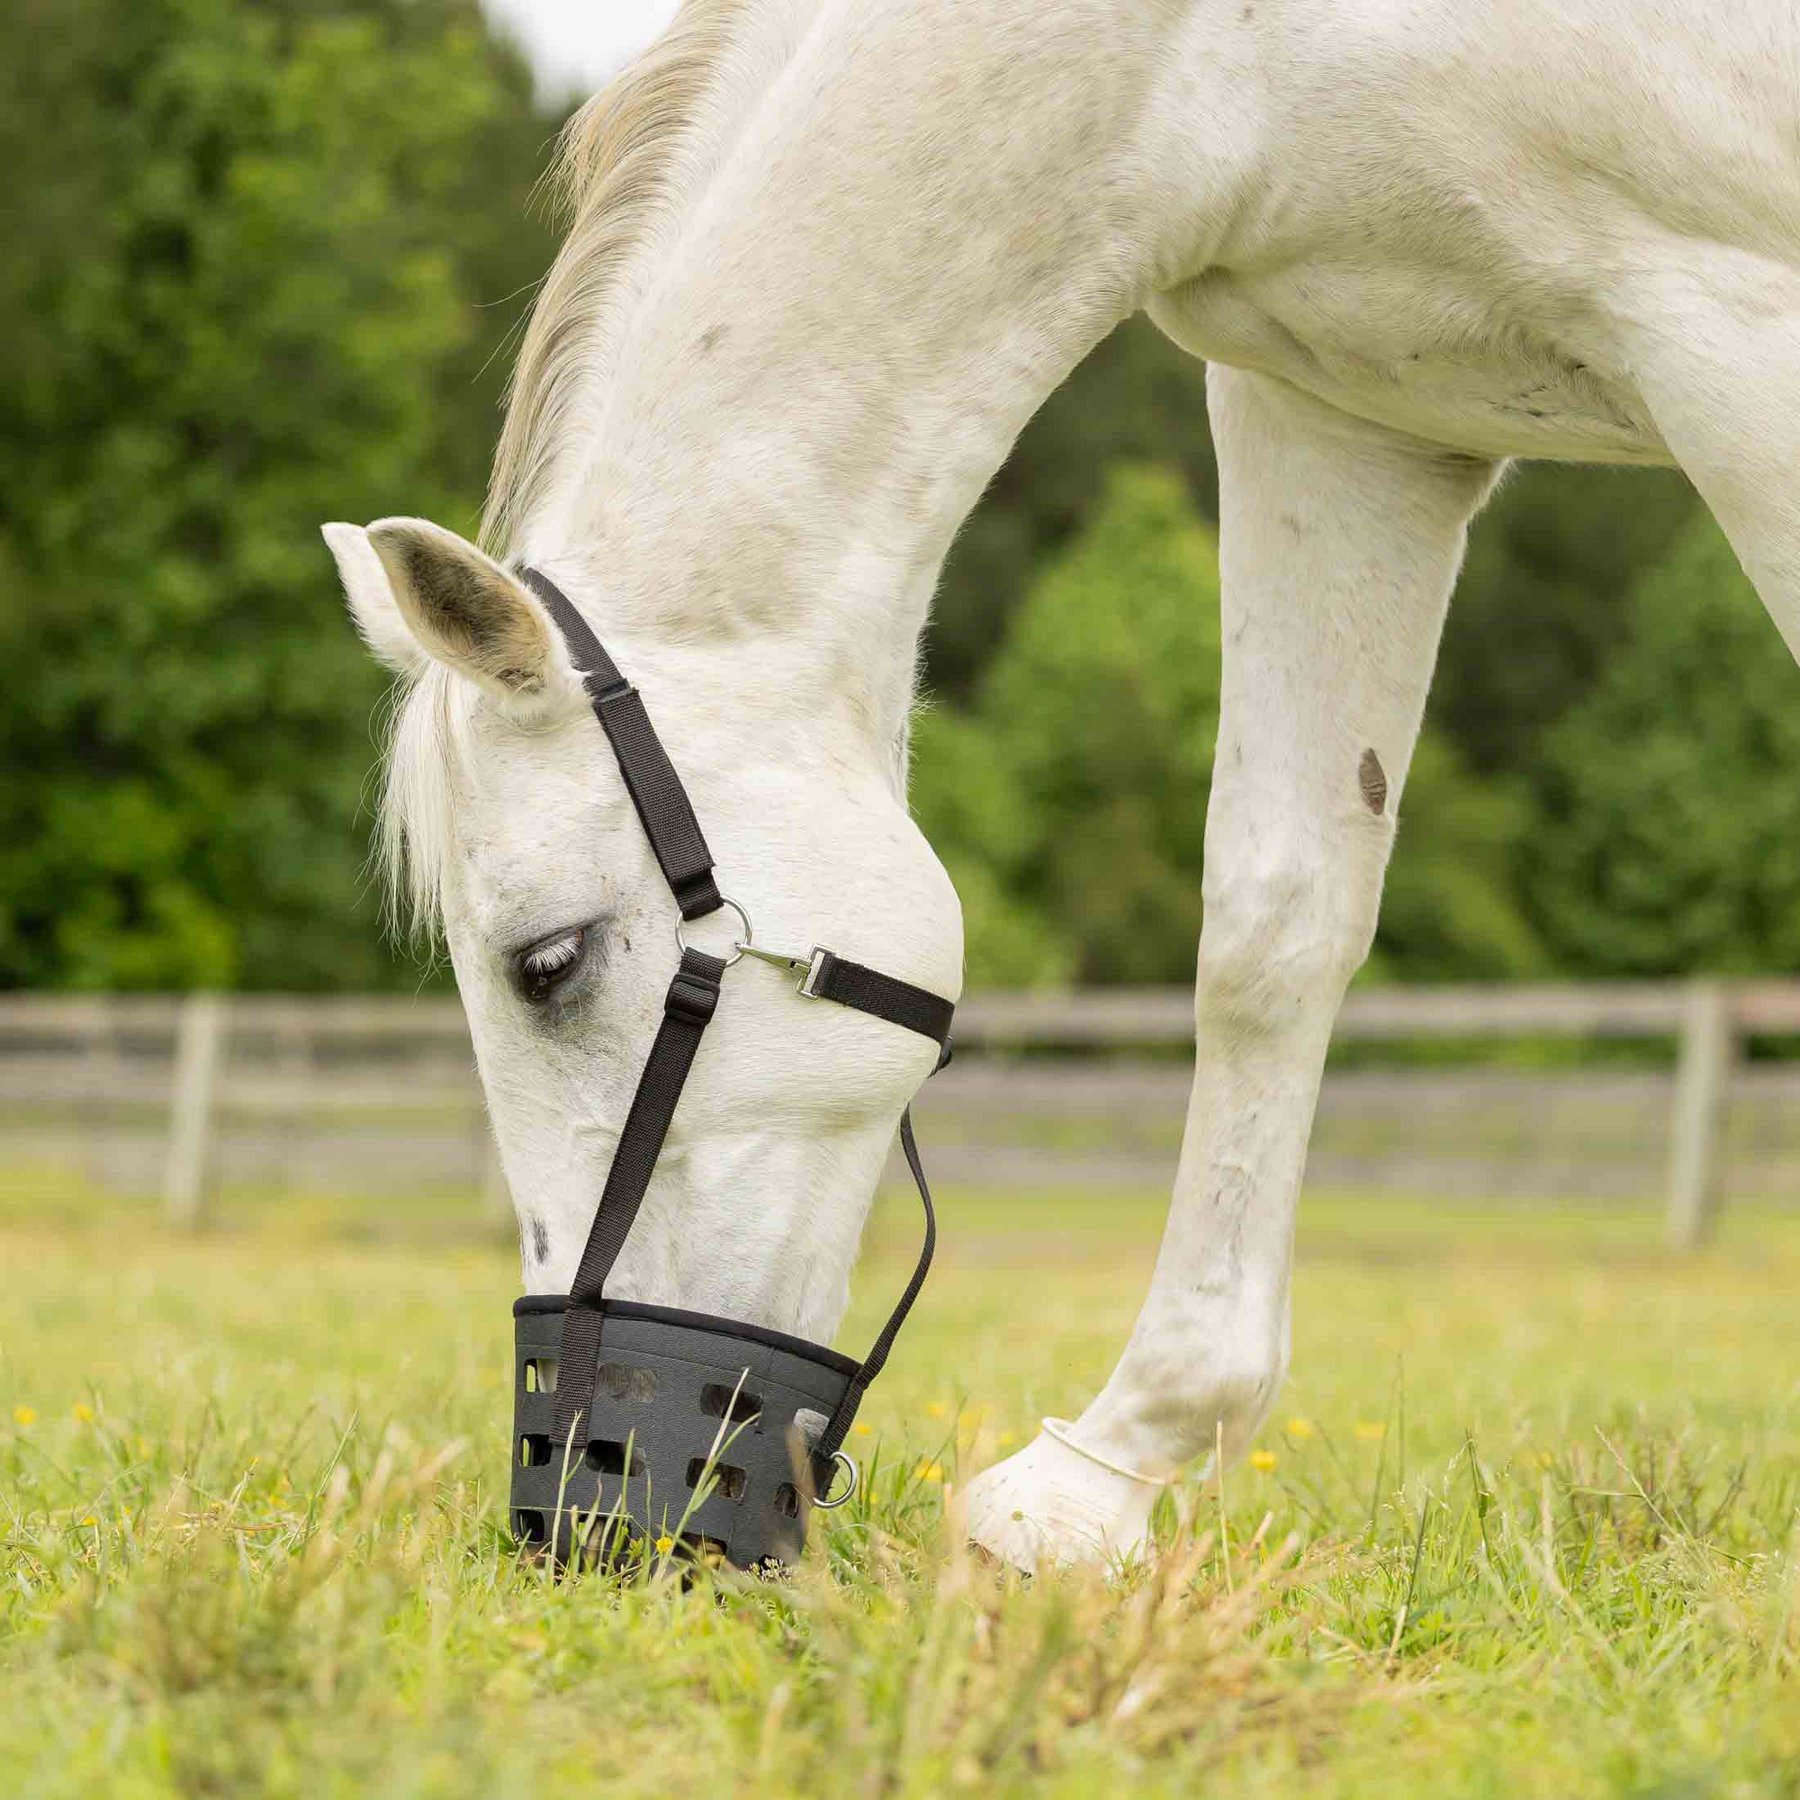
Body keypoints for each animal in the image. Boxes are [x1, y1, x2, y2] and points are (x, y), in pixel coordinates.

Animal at [324, 0, 1800, 1571]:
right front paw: (1106, 1475)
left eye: (546, 963)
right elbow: (1276, 932)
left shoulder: (1739, 341)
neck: (1210, 51)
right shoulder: (1340, 416)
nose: (587, 1518)